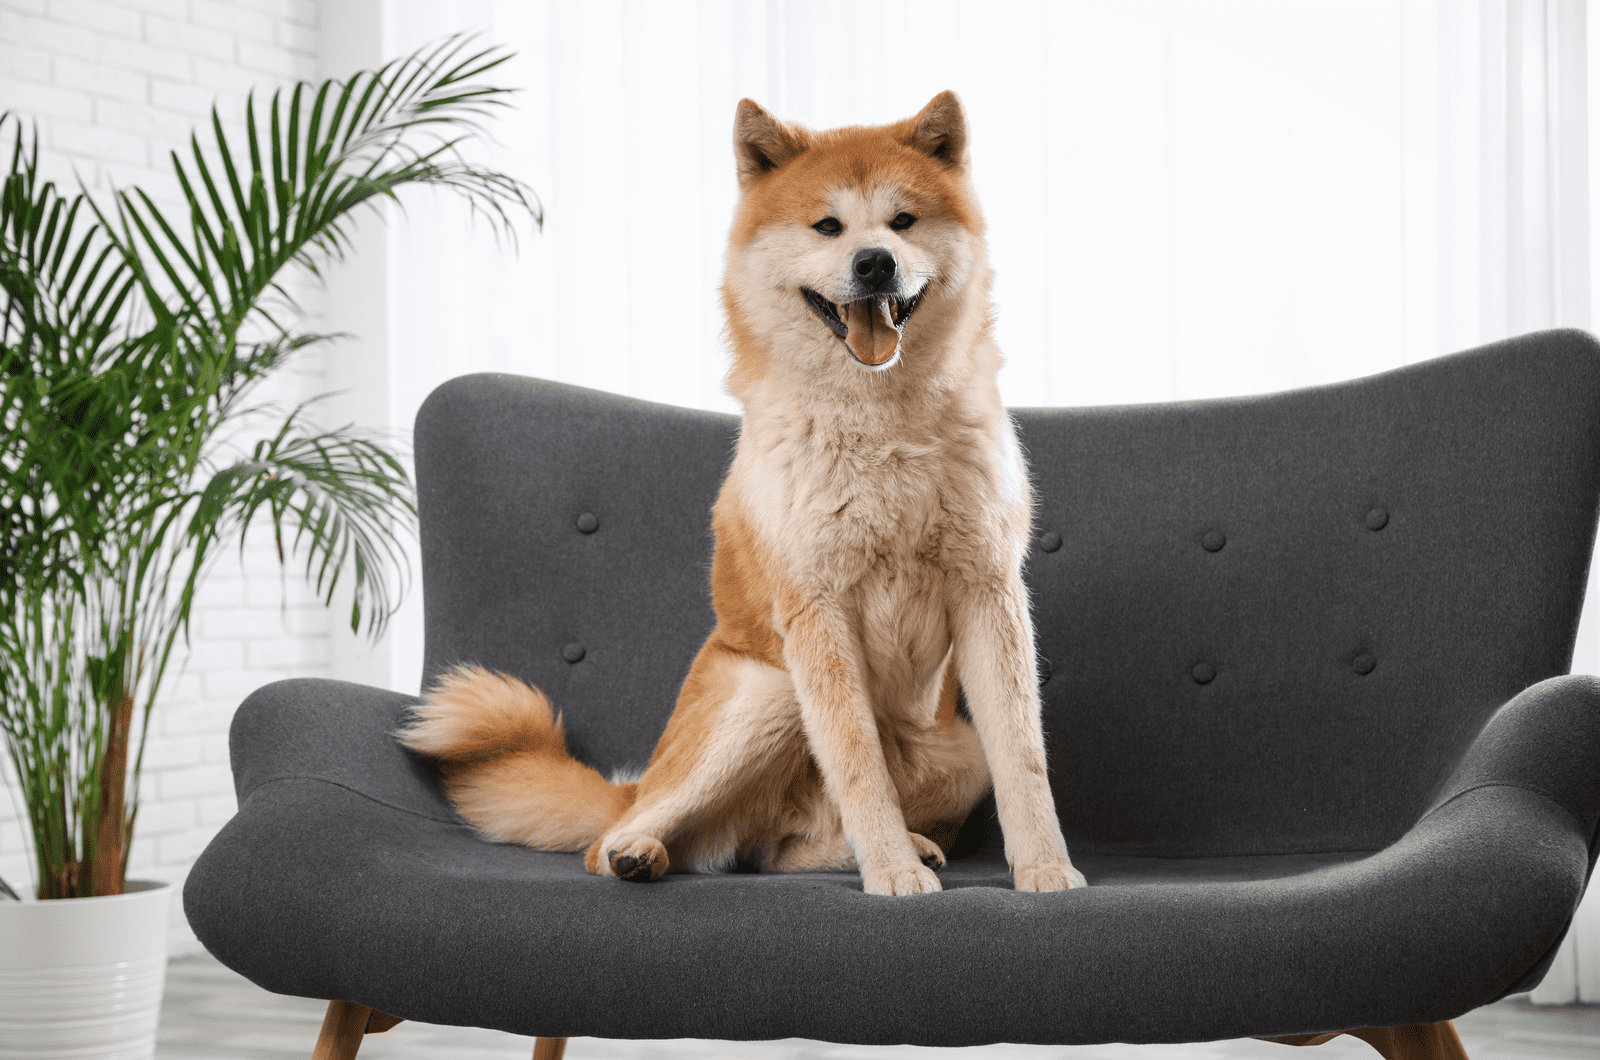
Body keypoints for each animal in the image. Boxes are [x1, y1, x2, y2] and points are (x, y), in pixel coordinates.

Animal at [406, 91, 1094, 896]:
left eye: (902, 221)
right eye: (828, 226)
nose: (875, 262)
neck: (879, 424)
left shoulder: (989, 590)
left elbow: (1024, 757)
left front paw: (1044, 868)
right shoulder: (816, 609)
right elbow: (859, 766)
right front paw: (891, 873)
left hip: (954, 756)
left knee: (775, 851)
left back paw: (888, 848)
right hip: (771, 690)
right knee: (618, 839)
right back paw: (640, 852)